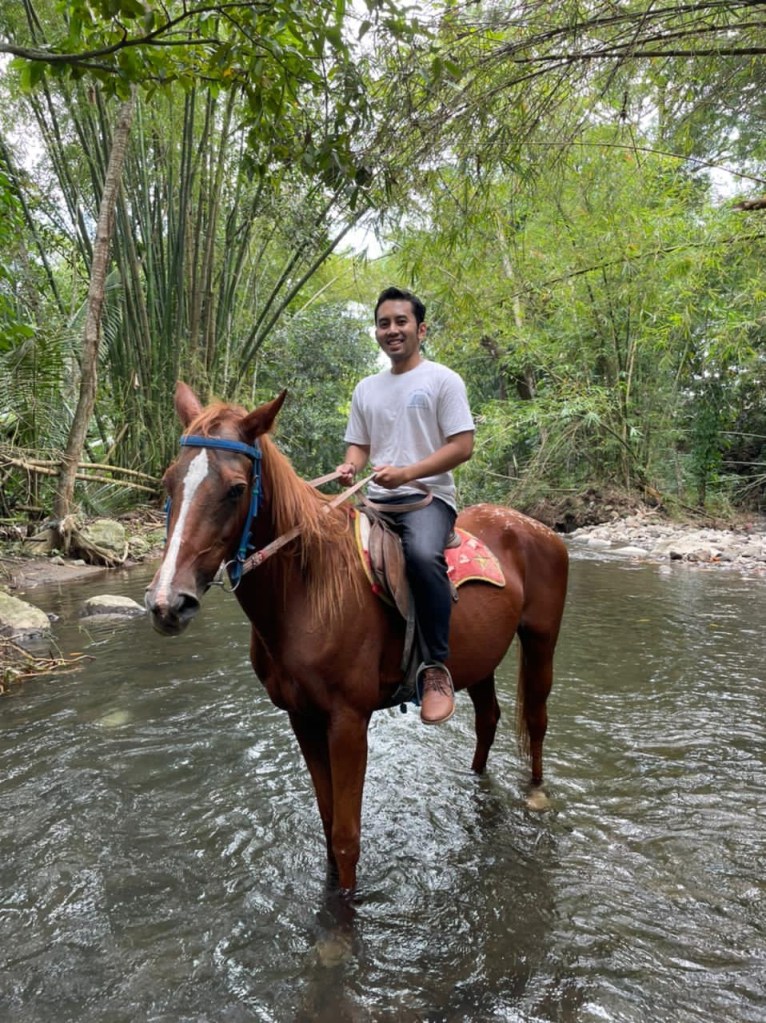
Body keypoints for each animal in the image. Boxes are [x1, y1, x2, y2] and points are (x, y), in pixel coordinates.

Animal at [145, 382, 569, 893]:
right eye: (169, 482)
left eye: (236, 489)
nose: (168, 603)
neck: (309, 592)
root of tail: (537, 527)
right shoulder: (302, 718)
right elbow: (329, 825)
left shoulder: (348, 721)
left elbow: (346, 837)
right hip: (479, 659)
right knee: (488, 719)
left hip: (541, 639)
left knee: (538, 719)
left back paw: (537, 793)